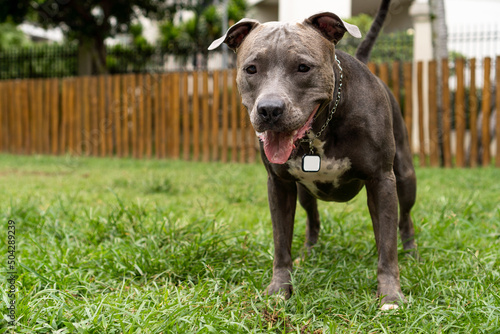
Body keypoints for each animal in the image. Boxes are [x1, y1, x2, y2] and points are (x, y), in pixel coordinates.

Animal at [209, 0, 416, 310]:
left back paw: (412, 252)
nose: (269, 110)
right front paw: (279, 289)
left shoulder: (381, 180)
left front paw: (390, 295)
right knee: (313, 216)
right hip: (304, 192)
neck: (320, 130)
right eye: (251, 69)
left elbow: (388, 248)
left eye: (303, 67)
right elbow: (281, 242)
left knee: (404, 218)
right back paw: (309, 251)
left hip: (404, 178)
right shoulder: (279, 185)